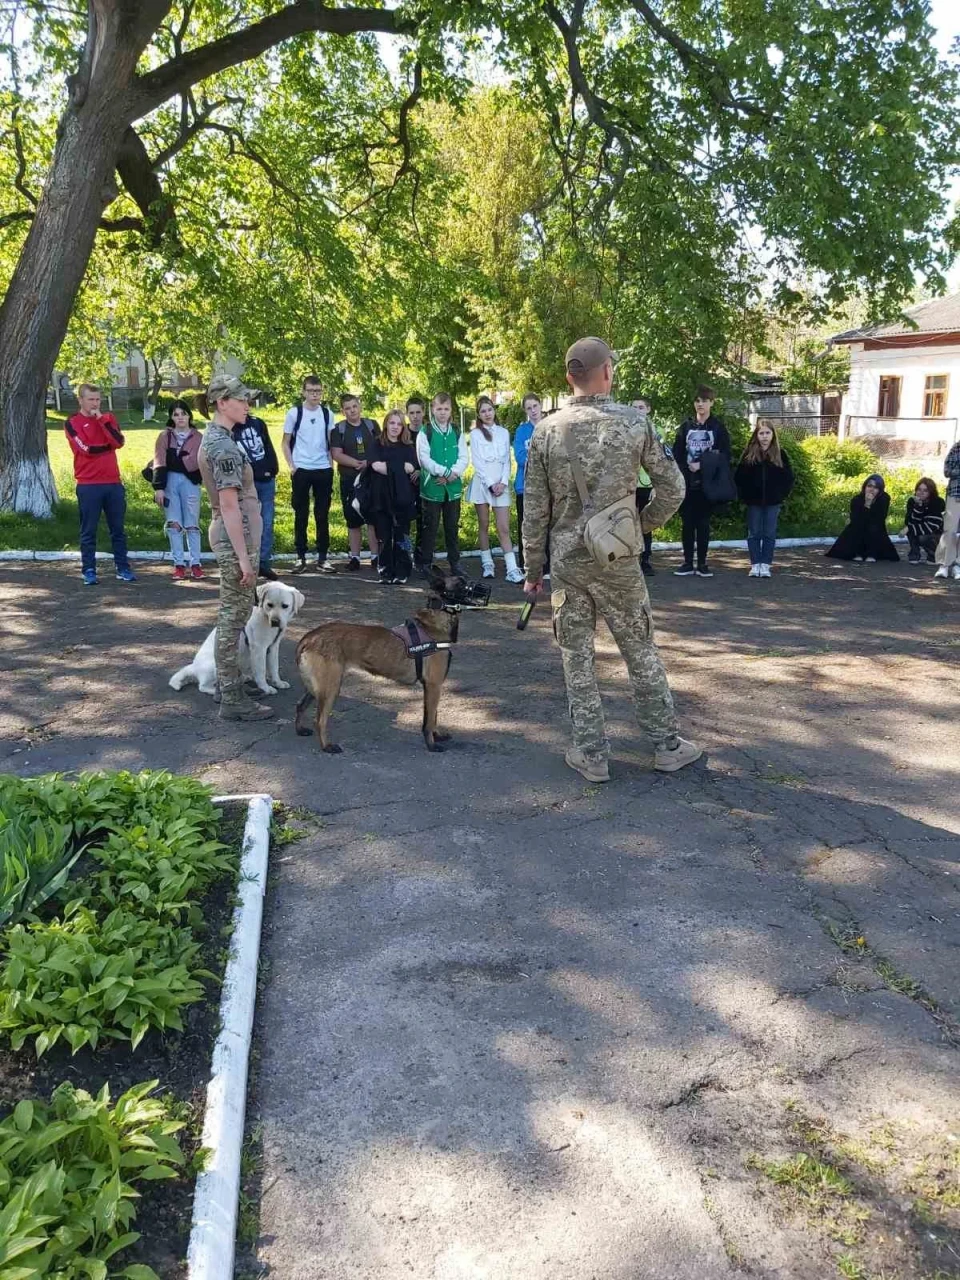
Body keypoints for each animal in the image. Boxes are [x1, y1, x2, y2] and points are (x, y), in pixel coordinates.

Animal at [168, 583, 304, 696]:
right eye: (269, 605)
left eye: (285, 606)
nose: (275, 621)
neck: (265, 617)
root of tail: (194, 667)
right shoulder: (259, 648)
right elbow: (261, 671)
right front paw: (265, 688)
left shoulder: (273, 646)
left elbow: (274, 667)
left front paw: (278, 682)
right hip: (215, 666)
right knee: (203, 686)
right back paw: (217, 692)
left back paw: (243, 678)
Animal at [296, 570, 478, 747]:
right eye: (461, 583)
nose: (476, 585)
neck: (434, 622)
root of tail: (310, 637)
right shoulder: (434, 685)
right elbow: (429, 719)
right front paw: (432, 745)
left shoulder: (433, 686)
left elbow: (433, 717)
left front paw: (437, 736)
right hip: (331, 687)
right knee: (319, 720)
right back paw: (327, 747)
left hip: (317, 687)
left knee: (300, 706)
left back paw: (300, 730)